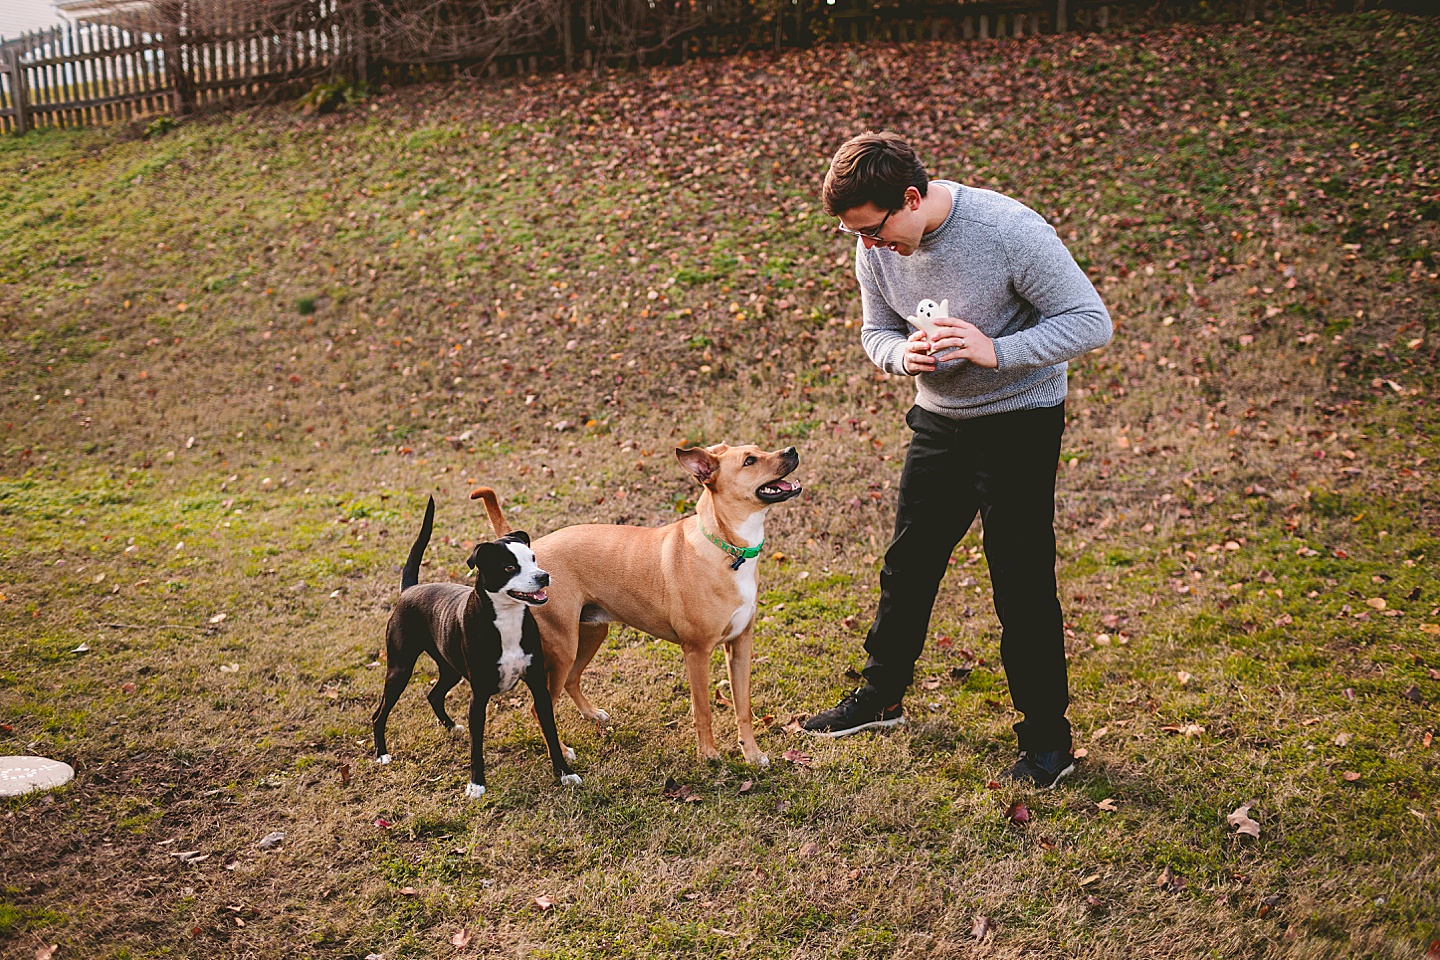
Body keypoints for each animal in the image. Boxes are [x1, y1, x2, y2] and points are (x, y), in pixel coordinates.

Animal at [371, 495, 578, 794]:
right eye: (509, 567)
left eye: (533, 558)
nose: (543, 576)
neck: (506, 618)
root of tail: (409, 589)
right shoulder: (478, 697)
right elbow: (476, 748)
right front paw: (476, 785)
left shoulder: (539, 687)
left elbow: (550, 732)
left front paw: (564, 773)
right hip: (400, 669)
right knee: (379, 714)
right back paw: (382, 754)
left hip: (450, 669)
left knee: (434, 695)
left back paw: (451, 727)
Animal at [478, 446, 806, 771]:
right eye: (750, 461)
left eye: (760, 449)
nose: (791, 450)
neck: (726, 547)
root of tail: (531, 559)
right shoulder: (696, 652)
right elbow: (703, 711)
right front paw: (708, 755)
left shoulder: (740, 645)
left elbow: (744, 709)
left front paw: (751, 754)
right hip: (563, 647)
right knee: (540, 707)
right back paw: (562, 750)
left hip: (591, 635)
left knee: (572, 679)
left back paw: (592, 715)